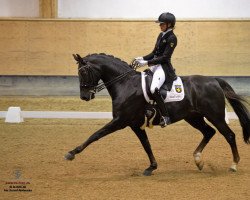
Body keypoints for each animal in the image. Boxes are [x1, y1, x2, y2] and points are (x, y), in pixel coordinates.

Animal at [65, 54, 250, 176]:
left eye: (83, 72)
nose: (84, 96)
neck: (125, 84)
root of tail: (214, 80)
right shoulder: (134, 124)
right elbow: (146, 144)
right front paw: (151, 167)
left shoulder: (120, 121)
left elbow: (96, 135)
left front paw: (72, 153)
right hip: (193, 117)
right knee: (209, 132)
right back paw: (198, 161)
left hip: (215, 115)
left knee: (229, 135)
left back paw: (233, 165)